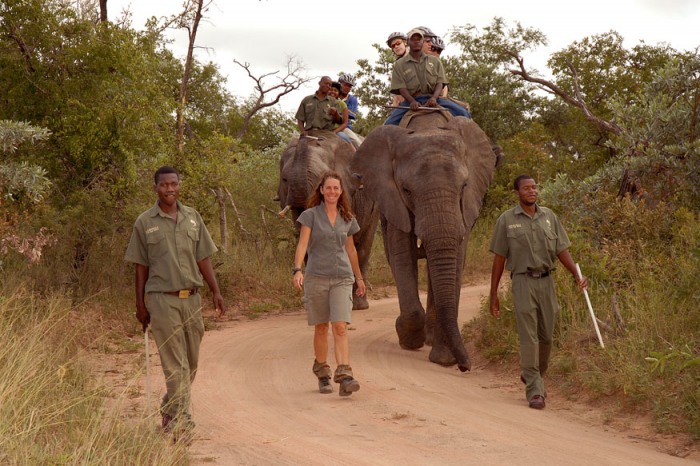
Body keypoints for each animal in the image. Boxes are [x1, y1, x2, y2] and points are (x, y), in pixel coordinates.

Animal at [350, 111, 497, 371]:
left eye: (464, 186)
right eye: (406, 190)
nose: (465, 367)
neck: (427, 128)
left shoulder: (465, 207)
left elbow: (456, 258)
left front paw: (443, 359)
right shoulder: (393, 200)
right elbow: (402, 256)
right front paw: (407, 338)